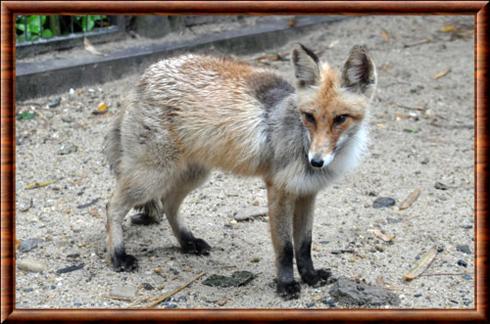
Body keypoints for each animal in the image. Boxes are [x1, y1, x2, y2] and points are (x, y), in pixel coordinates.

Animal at [105, 44, 378, 300]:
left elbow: (304, 245)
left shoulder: (307, 193)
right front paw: (286, 284)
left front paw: (310, 276)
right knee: (113, 206)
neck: (299, 138)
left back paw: (187, 242)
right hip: (152, 176)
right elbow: (285, 248)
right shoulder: (279, 190)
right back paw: (118, 255)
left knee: (169, 204)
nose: (316, 161)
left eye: (340, 118)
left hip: (194, 174)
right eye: (309, 116)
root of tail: (143, 77)